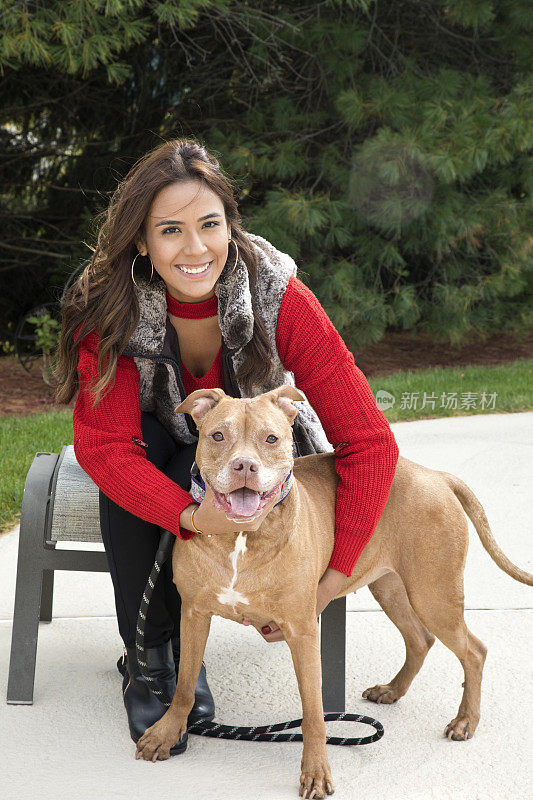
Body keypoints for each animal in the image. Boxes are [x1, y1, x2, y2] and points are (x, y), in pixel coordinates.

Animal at [134, 386, 532, 792]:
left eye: (271, 439)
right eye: (217, 436)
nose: (244, 466)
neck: (241, 537)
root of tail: (436, 475)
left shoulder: (302, 629)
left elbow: (313, 711)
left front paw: (315, 770)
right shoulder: (194, 613)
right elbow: (184, 684)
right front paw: (166, 732)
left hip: (433, 595)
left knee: (474, 651)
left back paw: (465, 720)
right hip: (390, 589)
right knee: (420, 639)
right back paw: (393, 690)